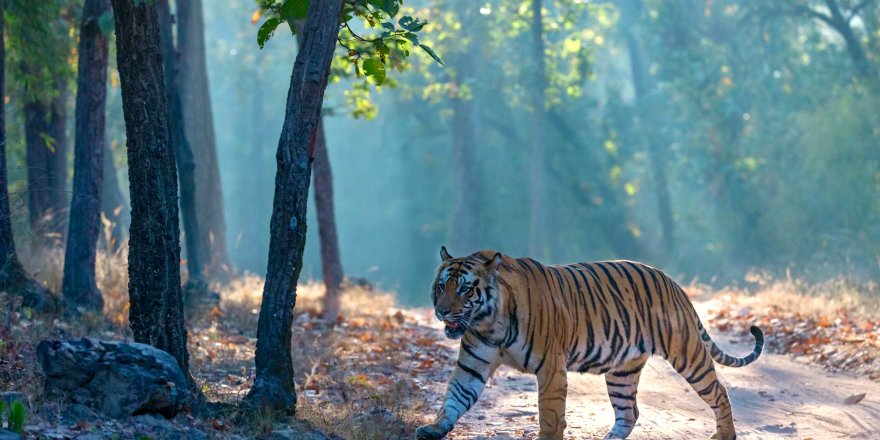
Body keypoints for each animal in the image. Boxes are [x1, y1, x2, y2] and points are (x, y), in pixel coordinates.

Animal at [416, 248, 760, 440]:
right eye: (442, 286)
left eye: (465, 289)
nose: (441, 311)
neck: (488, 322)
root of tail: (671, 281)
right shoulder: (472, 364)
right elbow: (455, 397)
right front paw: (434, 428)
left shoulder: (551, 367)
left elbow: (550, 414)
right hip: (622, 372)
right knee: (628, 413)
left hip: (686, 351)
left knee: (719, 392)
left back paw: (724, 435)